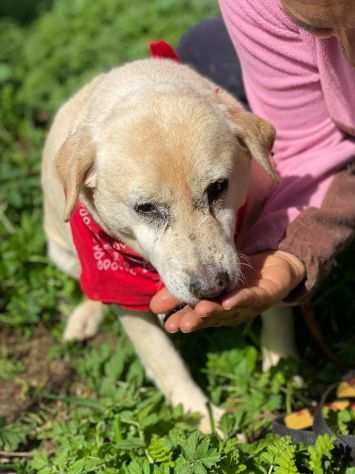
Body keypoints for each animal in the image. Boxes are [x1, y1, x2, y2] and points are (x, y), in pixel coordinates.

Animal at [41, 52, 298, 434]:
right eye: (145, 208)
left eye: (218, 188)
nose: (212, 288)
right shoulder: (125, 295)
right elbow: (166, 364)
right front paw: (206, 419)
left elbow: (279, 306)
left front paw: (282, 366)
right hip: (61, 251)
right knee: (89, 285)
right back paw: (85, 317)